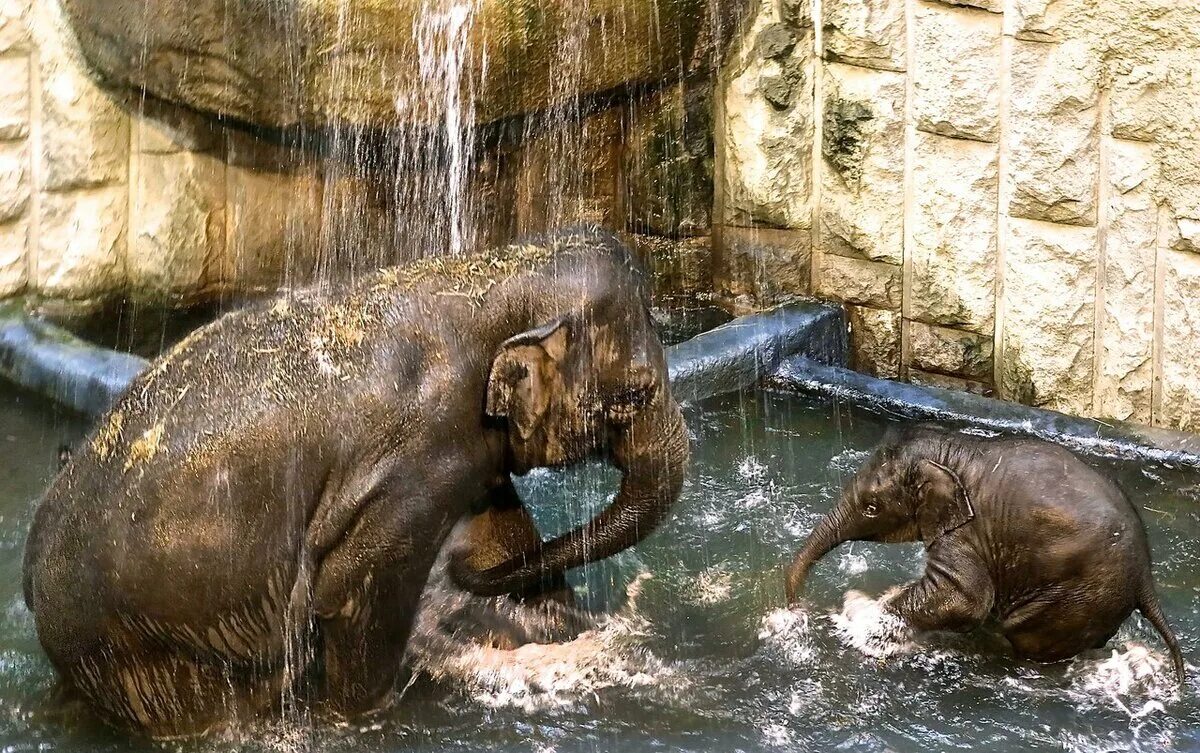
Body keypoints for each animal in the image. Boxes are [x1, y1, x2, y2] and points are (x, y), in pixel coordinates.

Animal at [23, 227, 691, 733]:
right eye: (635, 395)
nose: (462, 578)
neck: (487, 278)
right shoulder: (417, 458)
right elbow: (357, 589)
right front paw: (368, 717)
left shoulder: (468, 453)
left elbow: (501, 531)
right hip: (135, 644)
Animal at [782, 426, 1185, 681]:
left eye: (870, 507)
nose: (794, 608)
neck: (952, 449)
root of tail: (1145, 579)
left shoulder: (968, 532)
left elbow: (965, 597)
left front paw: (860, 614)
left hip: (1079, 597)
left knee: (1025, 637)